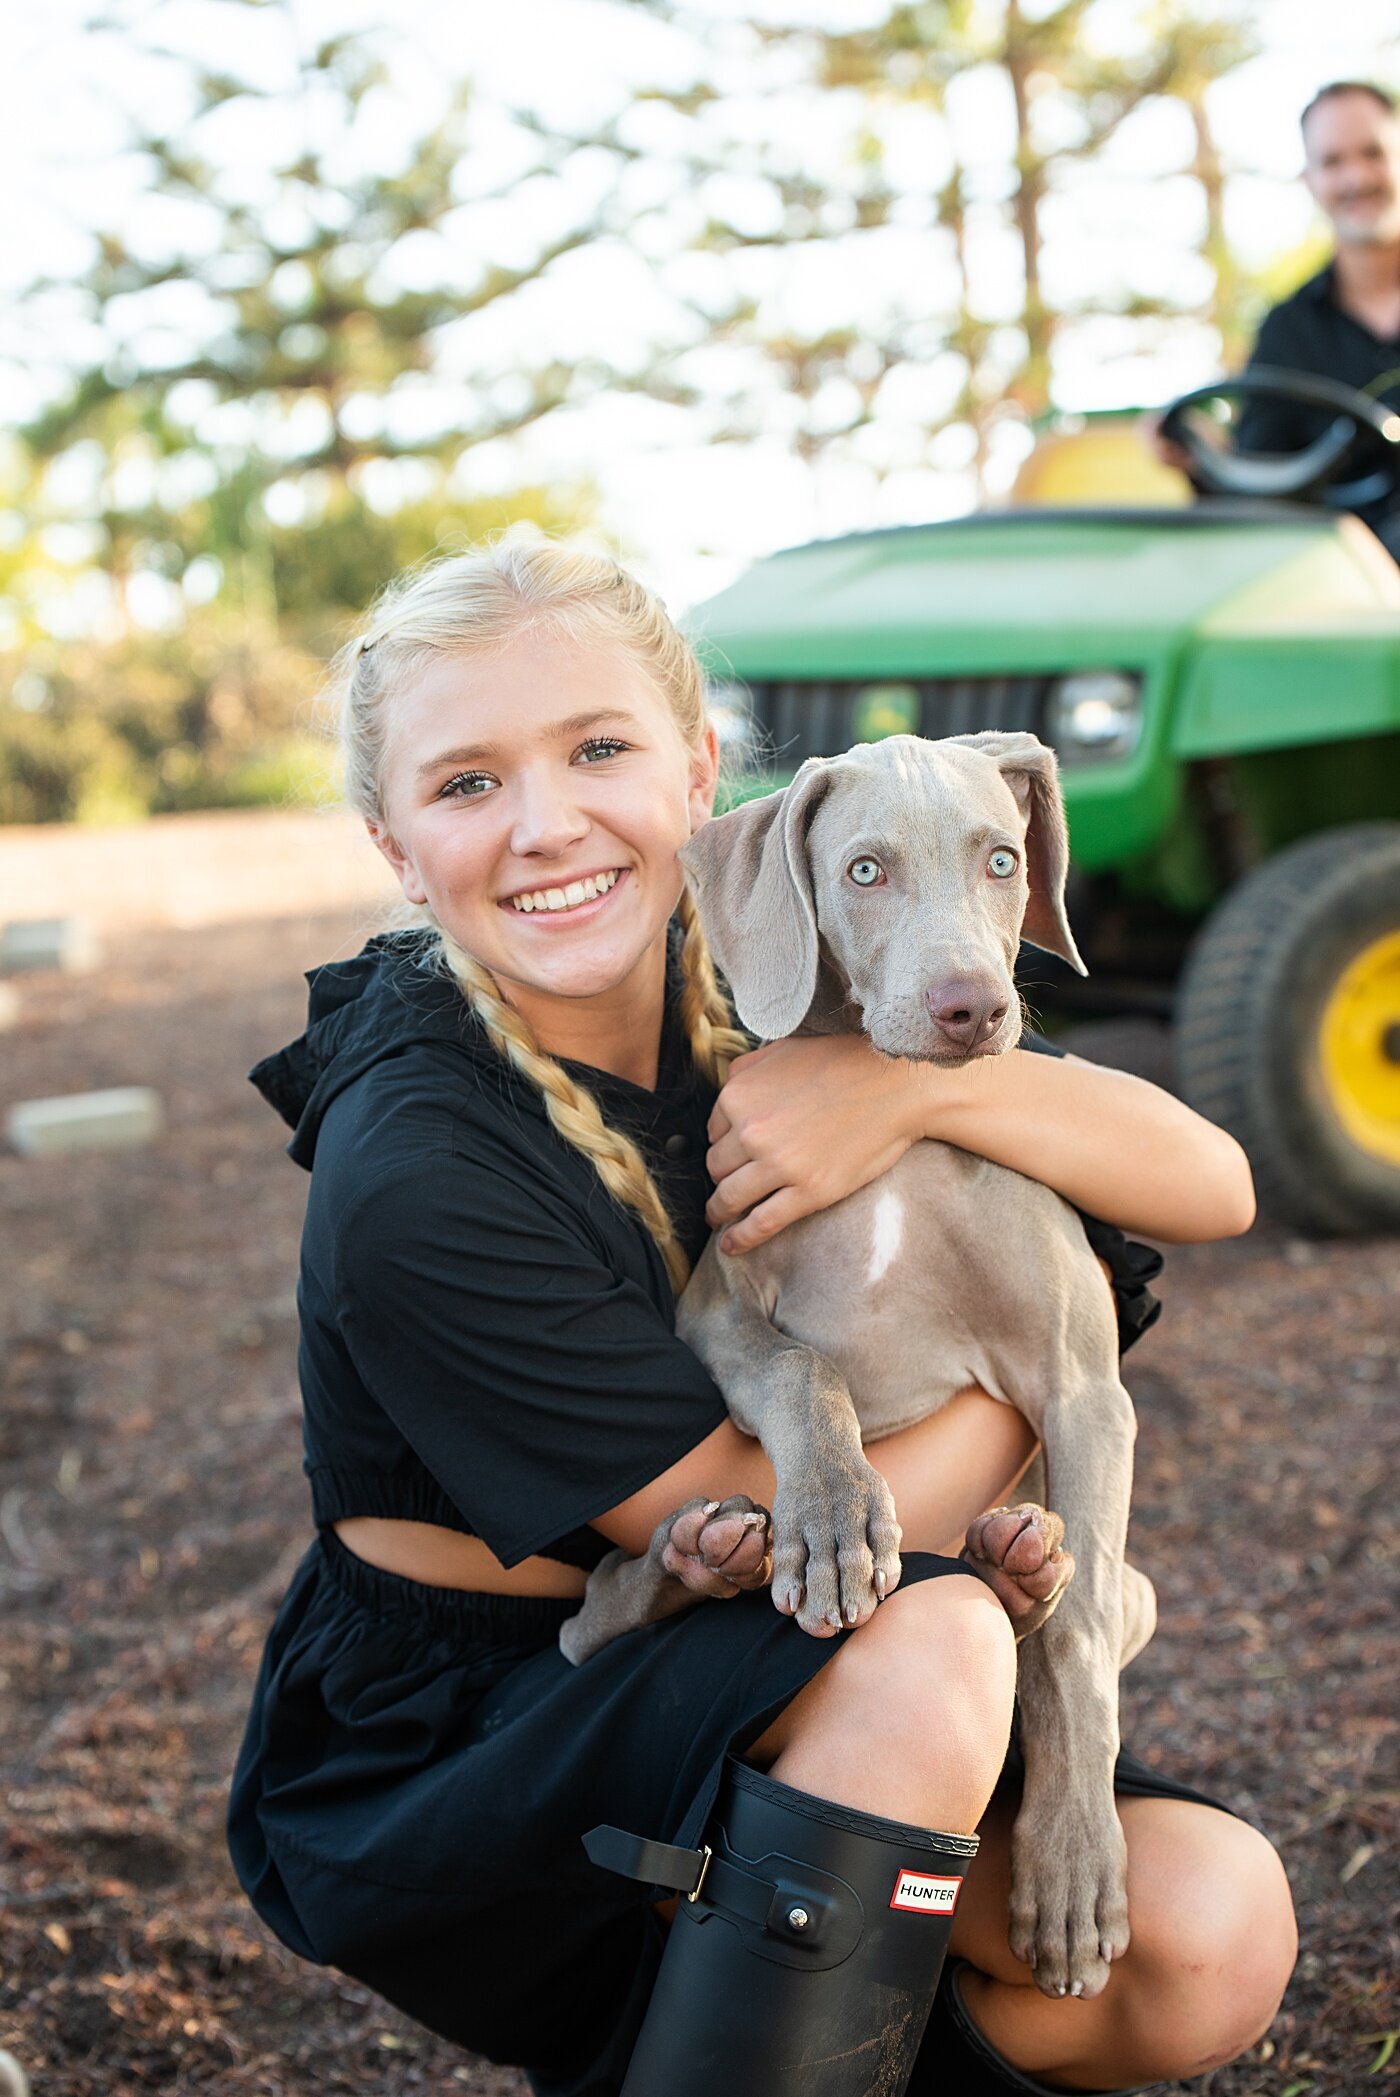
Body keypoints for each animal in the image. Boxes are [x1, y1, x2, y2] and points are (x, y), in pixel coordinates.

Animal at [561, 733, 1156, 1996]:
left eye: (1000, 861)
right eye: (864, 871)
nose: (971, 1009)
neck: (899, 1133)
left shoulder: (1085, 1390)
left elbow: (1078, 1644)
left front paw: (1073, 1868)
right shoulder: (717, 1316)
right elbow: (804, 1374)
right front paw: (833, 1520)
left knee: (1067, 1603)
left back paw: (1016, 1570)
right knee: (585, 1626)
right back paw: (697, 1557)